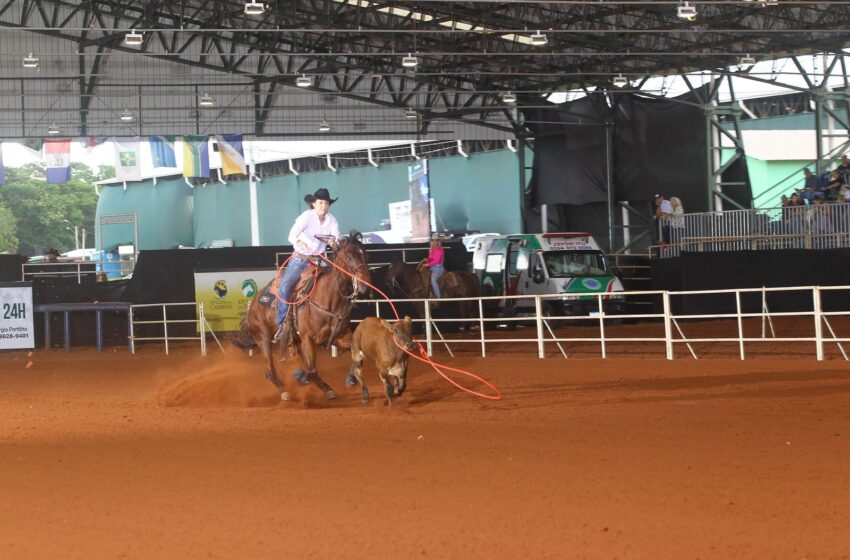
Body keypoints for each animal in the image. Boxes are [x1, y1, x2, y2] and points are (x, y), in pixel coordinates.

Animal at [234, 233, 370, 402]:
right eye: (350, 256)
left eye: (366, 254)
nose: (366, 285)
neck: (329, 299)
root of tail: (253, 303)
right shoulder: (307, 338)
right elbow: (312, 371)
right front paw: (303, 378)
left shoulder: (340, 336)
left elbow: (358, 353)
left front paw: (351, 379)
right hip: (263, 337)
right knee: (270, 370)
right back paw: (285, 391)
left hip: (295, 341)